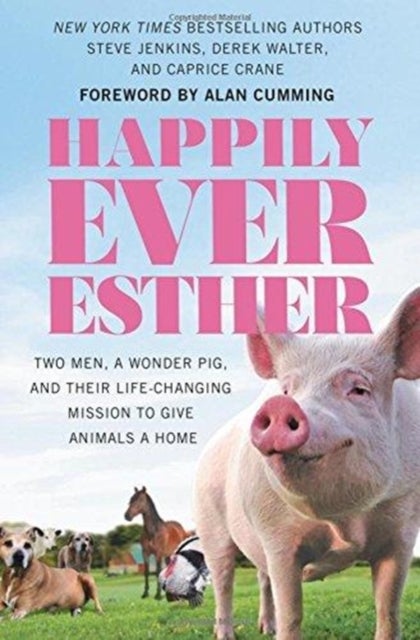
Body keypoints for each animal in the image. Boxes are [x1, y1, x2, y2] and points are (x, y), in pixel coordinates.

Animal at [194, 288, 420, 640]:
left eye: (359, 389)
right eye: (287, 389)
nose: (279, 405)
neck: (342, 520)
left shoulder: (403, 530)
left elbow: (389, 612)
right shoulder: (277, 537)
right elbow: (292, 614)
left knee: (260, 577)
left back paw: (265, 628)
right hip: (209, 523)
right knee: (223, 580)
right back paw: (227, 634)